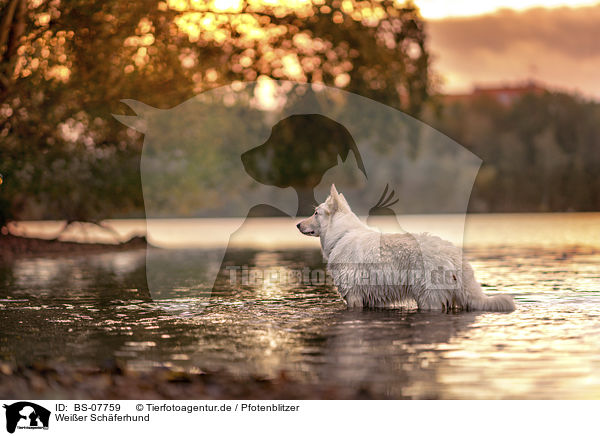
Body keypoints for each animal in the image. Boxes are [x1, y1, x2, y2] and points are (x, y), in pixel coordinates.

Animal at [296, 186, 516, 312]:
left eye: (315, 213)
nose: (297, 225)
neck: (343, 234)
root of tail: (453, 254)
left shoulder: (354, 297)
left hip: (428, 300)